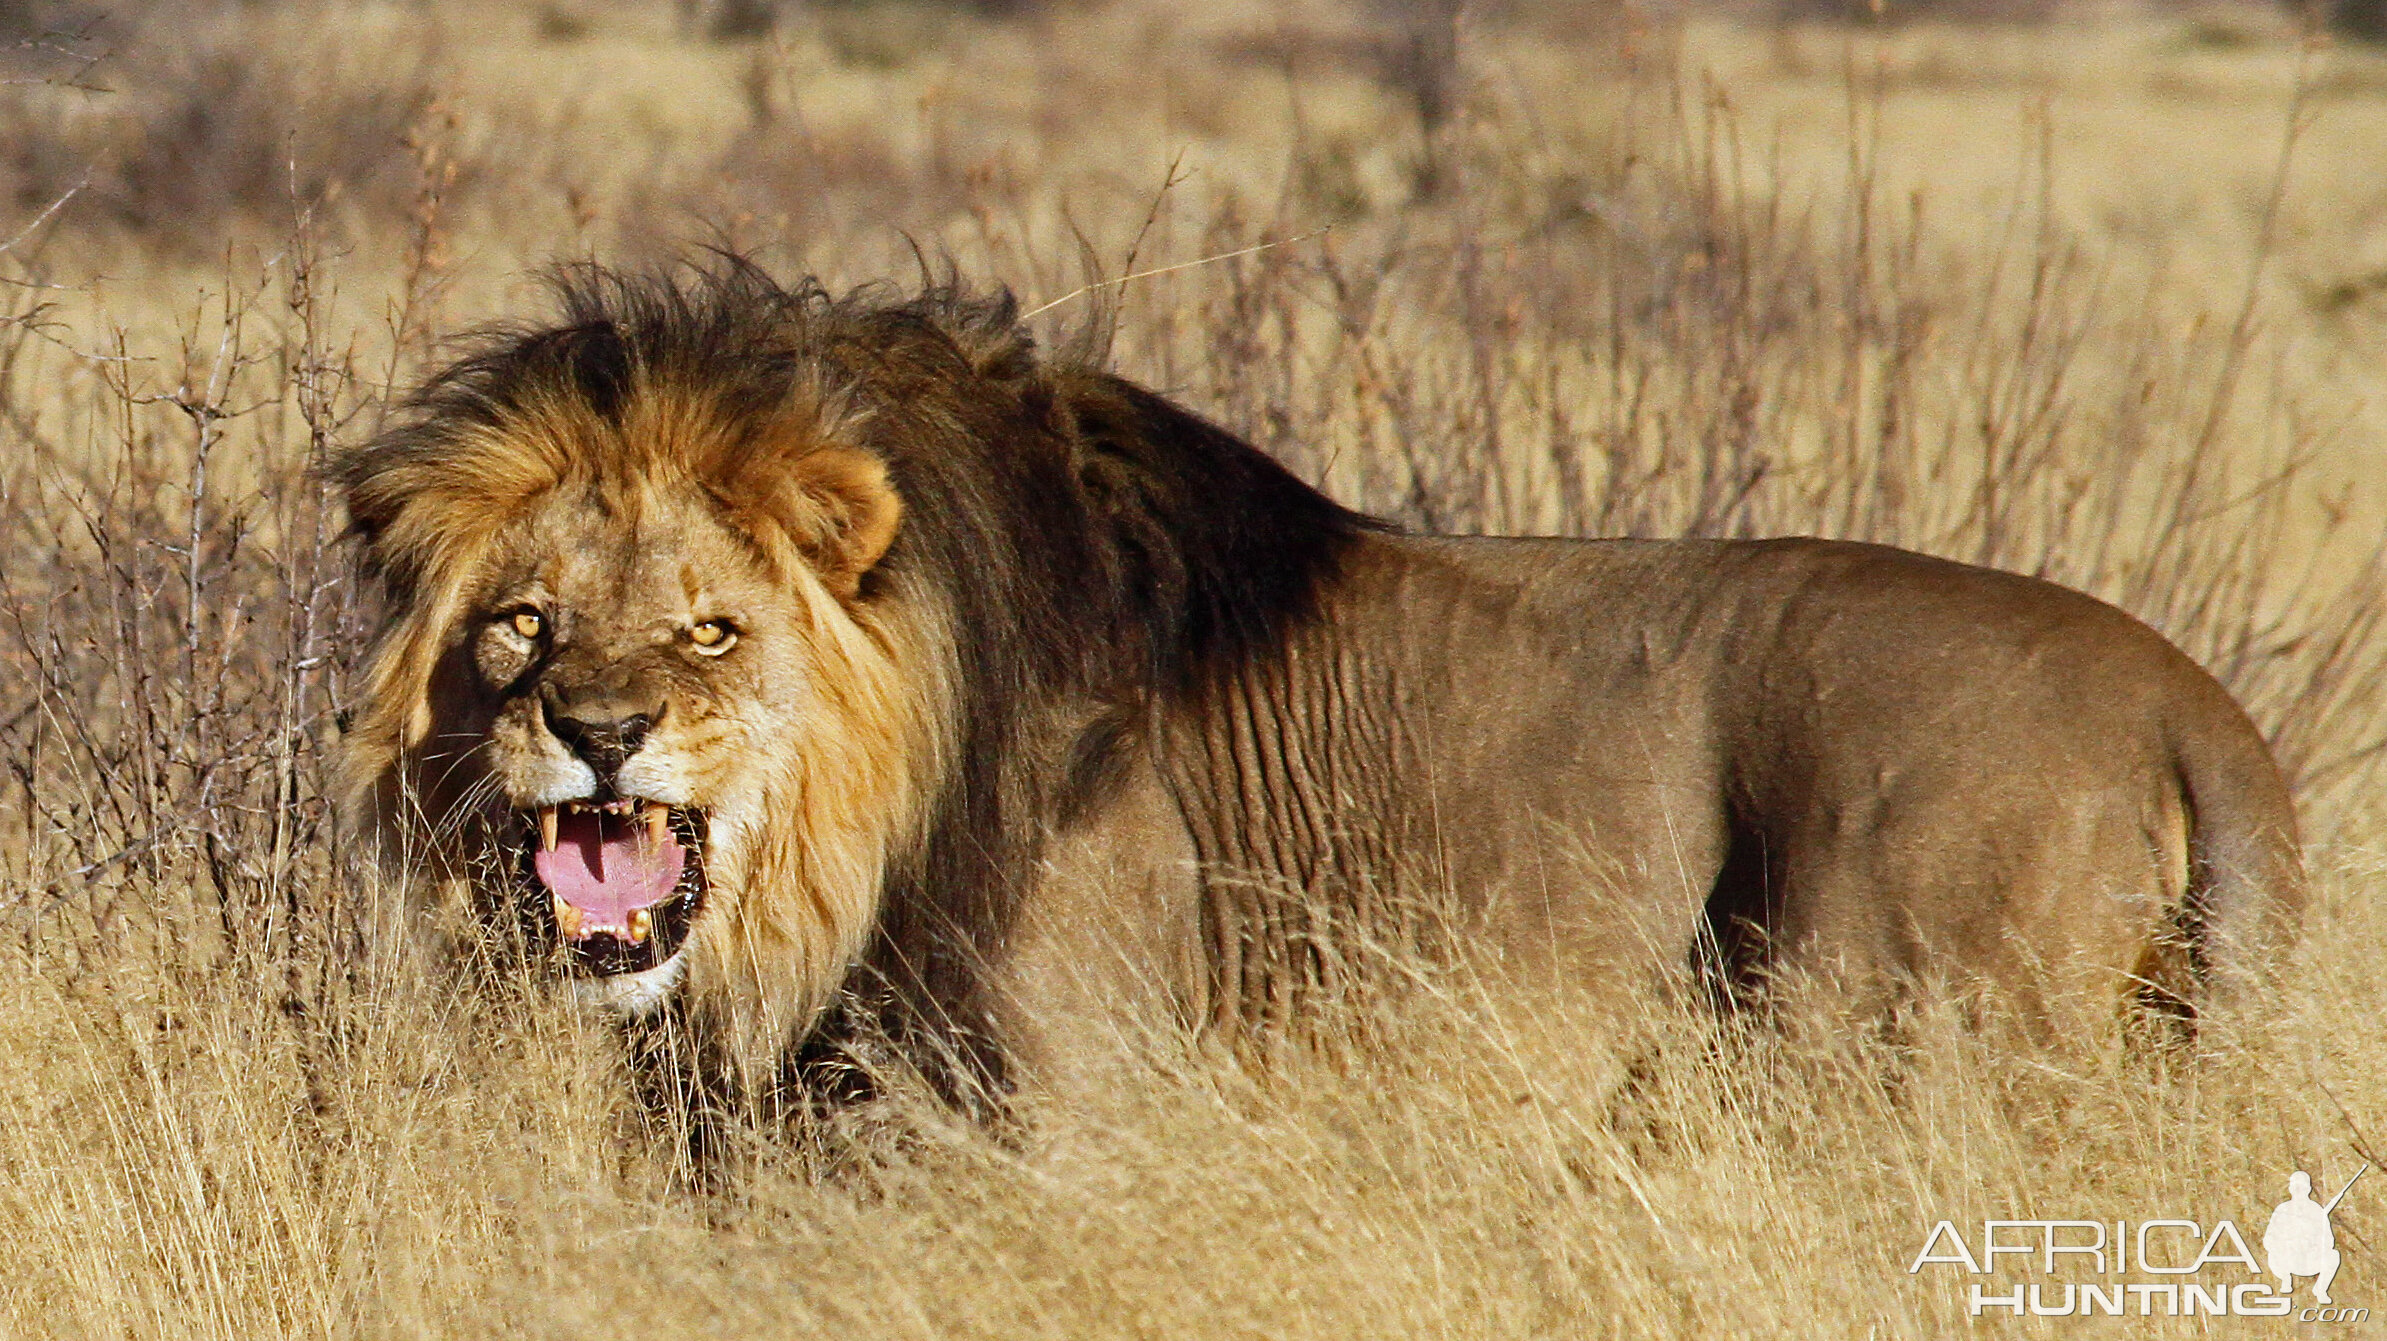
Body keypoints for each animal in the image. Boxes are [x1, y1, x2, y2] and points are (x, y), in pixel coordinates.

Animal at [327, 258, 2301, 1107]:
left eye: (713, 632)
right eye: (520, 628)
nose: (594, 734)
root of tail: (2190, 705)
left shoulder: (1088, 1111)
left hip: (1886, 1047)